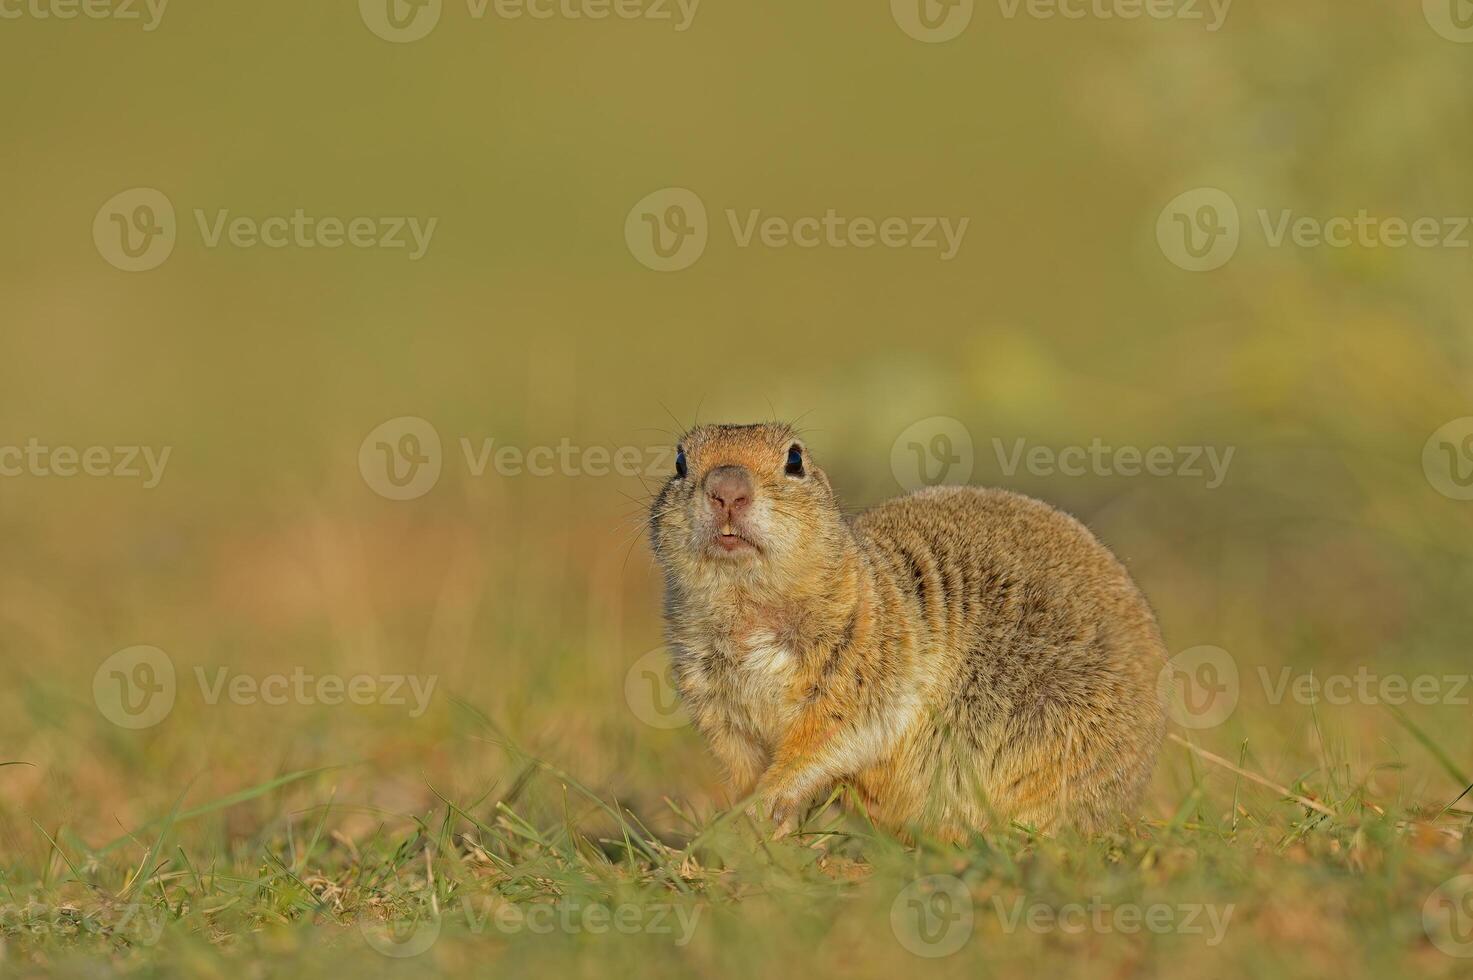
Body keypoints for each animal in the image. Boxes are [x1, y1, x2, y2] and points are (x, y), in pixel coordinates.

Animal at [651, 421, 1166, 831]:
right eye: (679, 461)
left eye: (794, 460)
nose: (727, 490)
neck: (749, 613)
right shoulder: (714, 698)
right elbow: (740, 759)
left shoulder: (870, 657)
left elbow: (831, 736)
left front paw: (765, 802)